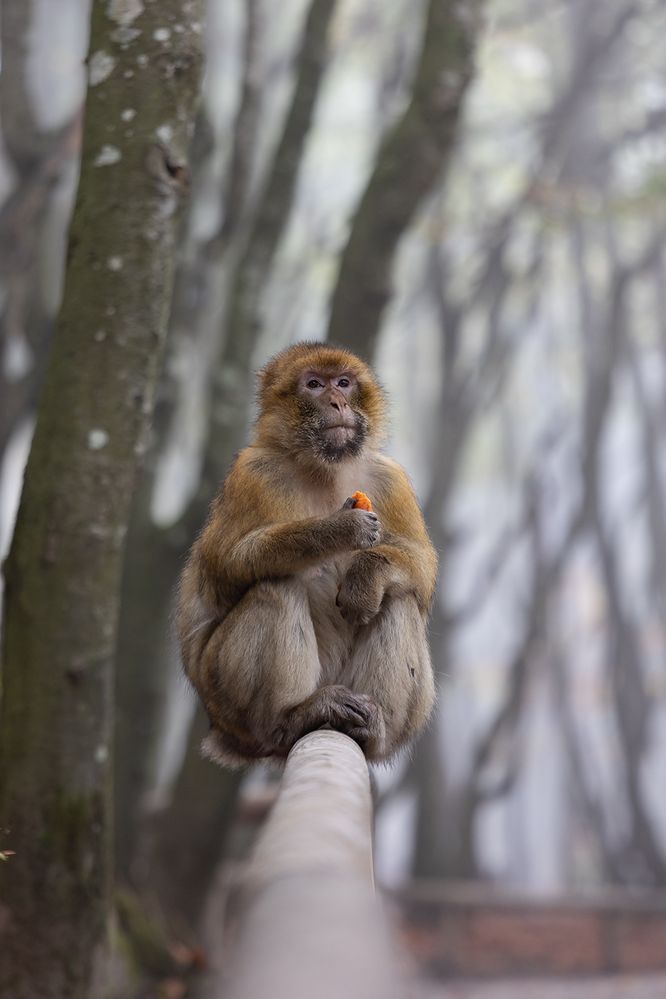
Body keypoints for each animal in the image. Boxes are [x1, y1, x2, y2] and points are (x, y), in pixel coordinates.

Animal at [174, 340, 438, 768]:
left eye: (343, 383)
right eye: (314, 384)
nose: (337, 402)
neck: (324, 469)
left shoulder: (390, 477)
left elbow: (422, 568)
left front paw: (365, 578)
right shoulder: (252, 474)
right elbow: (225, 567)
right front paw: (337, 528)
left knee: (399, 597)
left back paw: (374, 729)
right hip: (224, 693)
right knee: (276, 585)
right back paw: (292, 717)